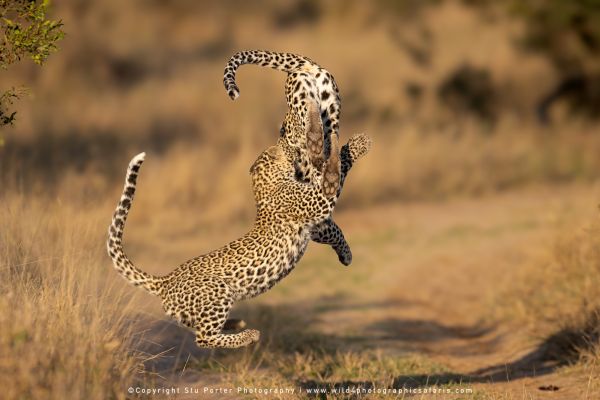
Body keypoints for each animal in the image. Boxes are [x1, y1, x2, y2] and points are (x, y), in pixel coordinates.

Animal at [107, 100, 370, 346]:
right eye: (286, 146)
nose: (289, 142)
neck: (263, 183)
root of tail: (165, 281)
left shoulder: (313, 222)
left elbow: (333, 229)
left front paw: (346, 255)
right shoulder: (316, 201)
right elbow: (335, 171)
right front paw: (357, 144)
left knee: (195, 327)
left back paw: (236, 322)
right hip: (218, 292)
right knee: (203, 338)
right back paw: (247, 334)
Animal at [224, 51, 356, 268]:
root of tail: (306, 65)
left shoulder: (317, 224)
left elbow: (334, 232)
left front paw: (346, 255)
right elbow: (335, 231)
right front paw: (346, 255)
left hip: (300, 101)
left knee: (307, 113)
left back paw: (315, 143)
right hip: (330, 104)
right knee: (332, 136)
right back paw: (328, 172)